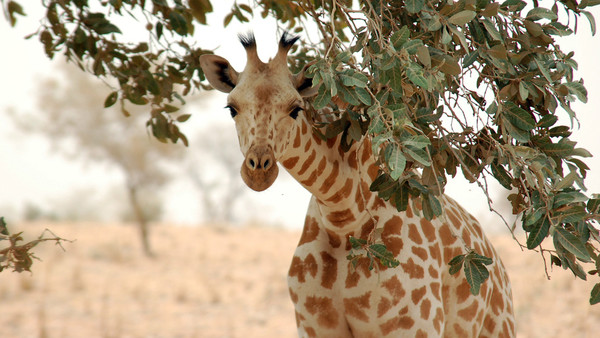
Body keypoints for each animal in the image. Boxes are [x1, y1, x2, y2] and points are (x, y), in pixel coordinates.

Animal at [198, 32, 516, 338]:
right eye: (232, 108)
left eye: (295, 109)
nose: (259, 171)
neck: (343, 216)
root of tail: (499, 266)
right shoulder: (314, 327)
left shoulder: (416, 327)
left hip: (498, 328)